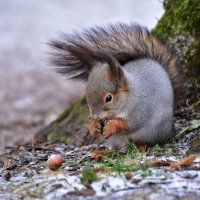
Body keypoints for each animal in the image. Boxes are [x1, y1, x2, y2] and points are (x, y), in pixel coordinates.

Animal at [50, 22, 186, 149]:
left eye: (108, 98)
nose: (95, 116)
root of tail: (169, 129)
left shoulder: (140, 109)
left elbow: (131, 124)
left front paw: (112, 125)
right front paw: (93, 126)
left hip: (154, 131)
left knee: (151, 141)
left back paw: (142, 146)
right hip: (116, 139)